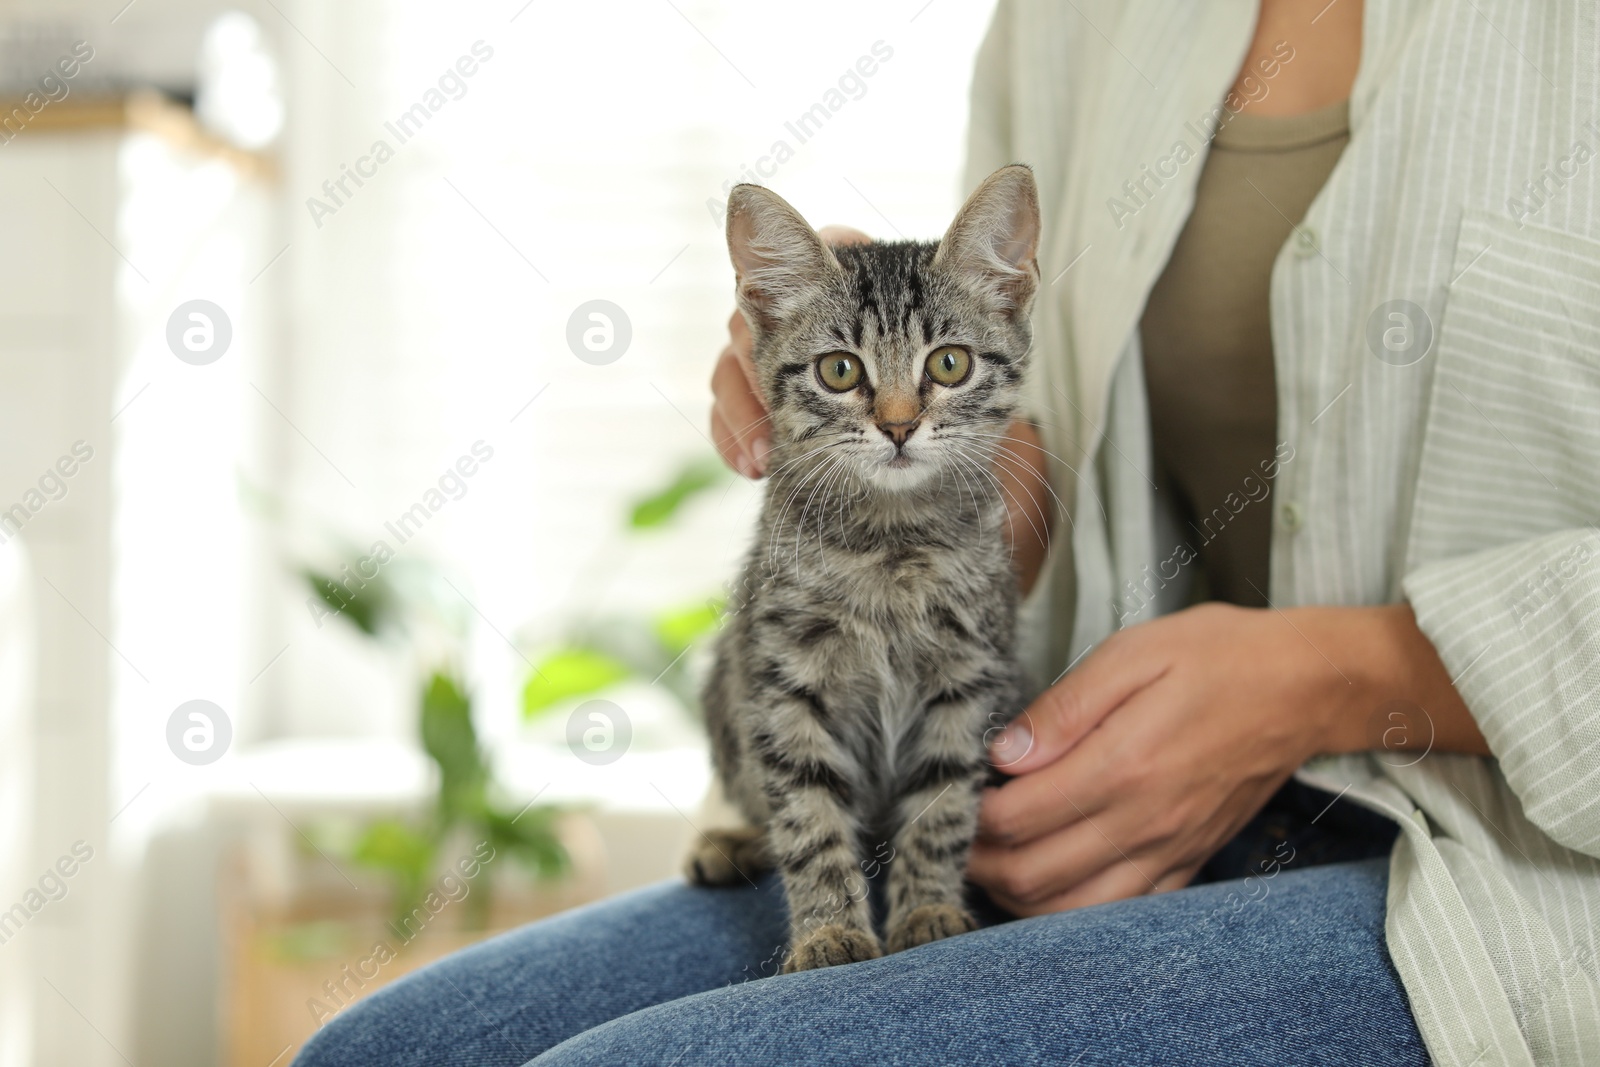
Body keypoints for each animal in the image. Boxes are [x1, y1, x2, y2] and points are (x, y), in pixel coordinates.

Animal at [684, 163, 1036, 972]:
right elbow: (807, 816)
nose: (899, 425)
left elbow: (941, 805)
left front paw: (928, 907)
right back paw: (731, 840)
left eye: (949, 363)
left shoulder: (969, 677)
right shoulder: (782, 681)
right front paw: (828, 930)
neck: (889, 546)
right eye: (840, 370)